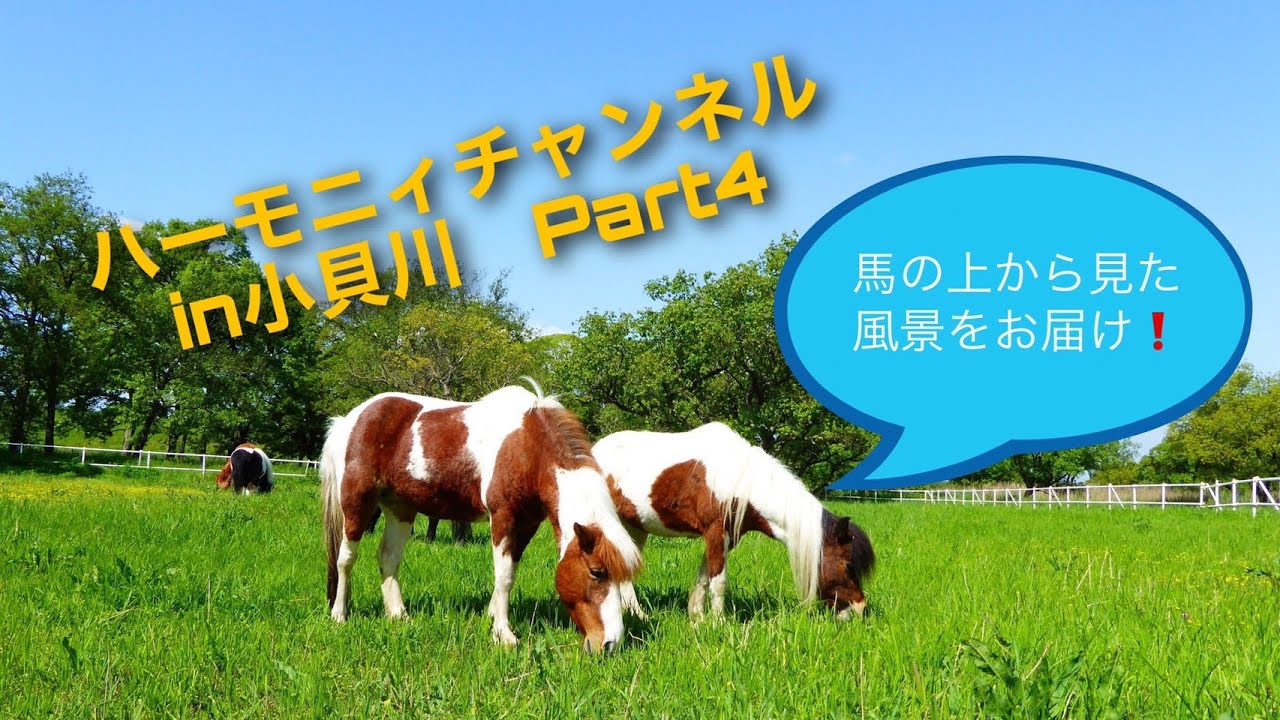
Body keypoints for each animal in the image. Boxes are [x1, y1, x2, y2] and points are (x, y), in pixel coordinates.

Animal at [320, 382, 643, 653]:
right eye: (597, 572)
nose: (611, 644)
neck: (528, 446)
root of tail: (350, 419)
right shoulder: (503, 517)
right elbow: (504, 575)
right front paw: (504, 634)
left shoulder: (527, 523)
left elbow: (509, 571)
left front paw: (493, 616)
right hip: (357, 503)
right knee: (345, 559)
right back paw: (339, 614)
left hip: (400, 508)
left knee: (388, 557)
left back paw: (398, 615)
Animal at [593, 422, 875, 620]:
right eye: (848, 565)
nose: (860, 609)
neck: (741, 481)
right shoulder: (715, 531)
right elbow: (719, 581)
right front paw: (719, 623)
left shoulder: (726, 537)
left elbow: (705, 576)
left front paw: (697, 617)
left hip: (634, 528)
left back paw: (637, 613)